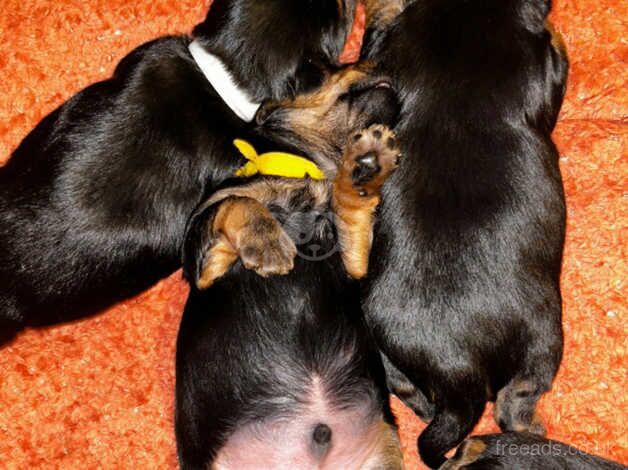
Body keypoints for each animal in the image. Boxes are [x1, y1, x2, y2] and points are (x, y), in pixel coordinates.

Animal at [174, 123, 404, 468]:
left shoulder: (354, 264)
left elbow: (351, 216)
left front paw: (365, 167)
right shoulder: (203, 262)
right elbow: (238, 204)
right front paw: (267, 243)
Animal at [254, 0, 568, 466]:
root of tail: (459, 377)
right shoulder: (544, 68)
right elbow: (557, 57)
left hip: (379, 336)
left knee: (408, 389)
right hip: (544, 338)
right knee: (515, 402)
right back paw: (532, 429)